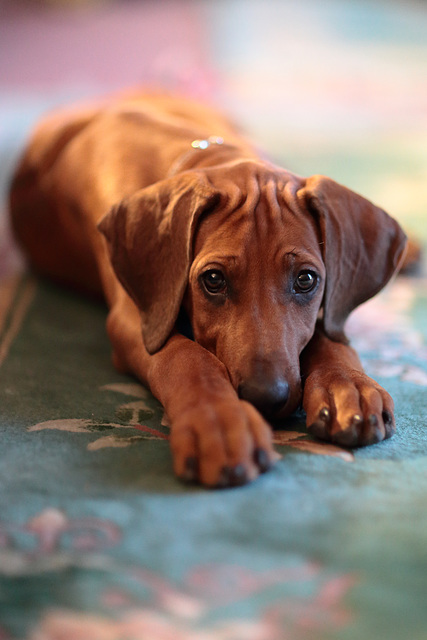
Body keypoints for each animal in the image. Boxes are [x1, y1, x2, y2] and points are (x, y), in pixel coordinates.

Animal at [8, 92, 406, 488]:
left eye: (306, 280)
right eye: (213, 280)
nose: (265, 398)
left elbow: (329, 334)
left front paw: (348, 385)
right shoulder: (138, 316)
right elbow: (187, 357)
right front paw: (219, 420)